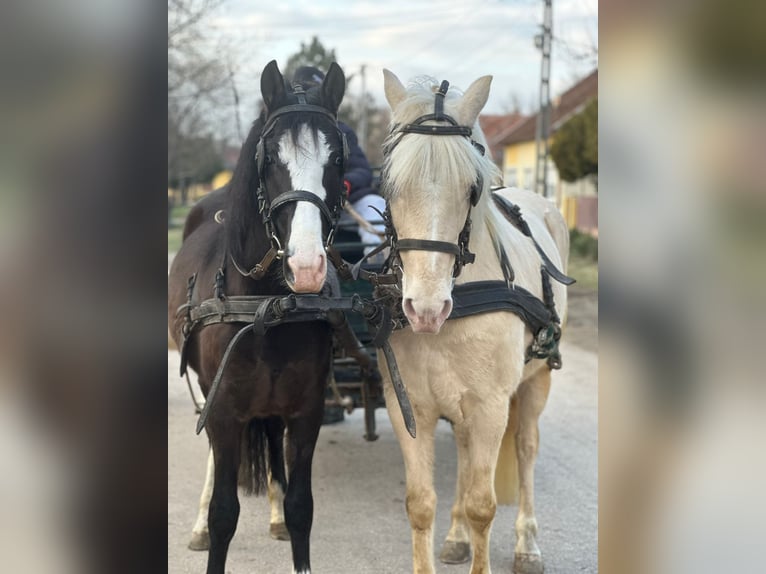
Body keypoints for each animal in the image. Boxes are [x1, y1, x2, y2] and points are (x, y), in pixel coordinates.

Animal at [170, 60, 348, 574]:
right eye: (270, 160)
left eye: (337, 161)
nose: (306, 268)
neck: (269, 308)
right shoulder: (224, 412)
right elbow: (224, 513)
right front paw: (209, 526)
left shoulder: (305, 413)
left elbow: (300, 507)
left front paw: (284, 515)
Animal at [380, 72, 568, 574]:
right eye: (390, 187)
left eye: (471, 189)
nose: (426, 310)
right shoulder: (411, 407)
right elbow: (420, 503)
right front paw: (448, 531)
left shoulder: (491, 405)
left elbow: (484, 505)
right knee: (465, 458)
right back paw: (456, 534)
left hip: (535, 383)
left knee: (526, 449)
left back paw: (527, 543)